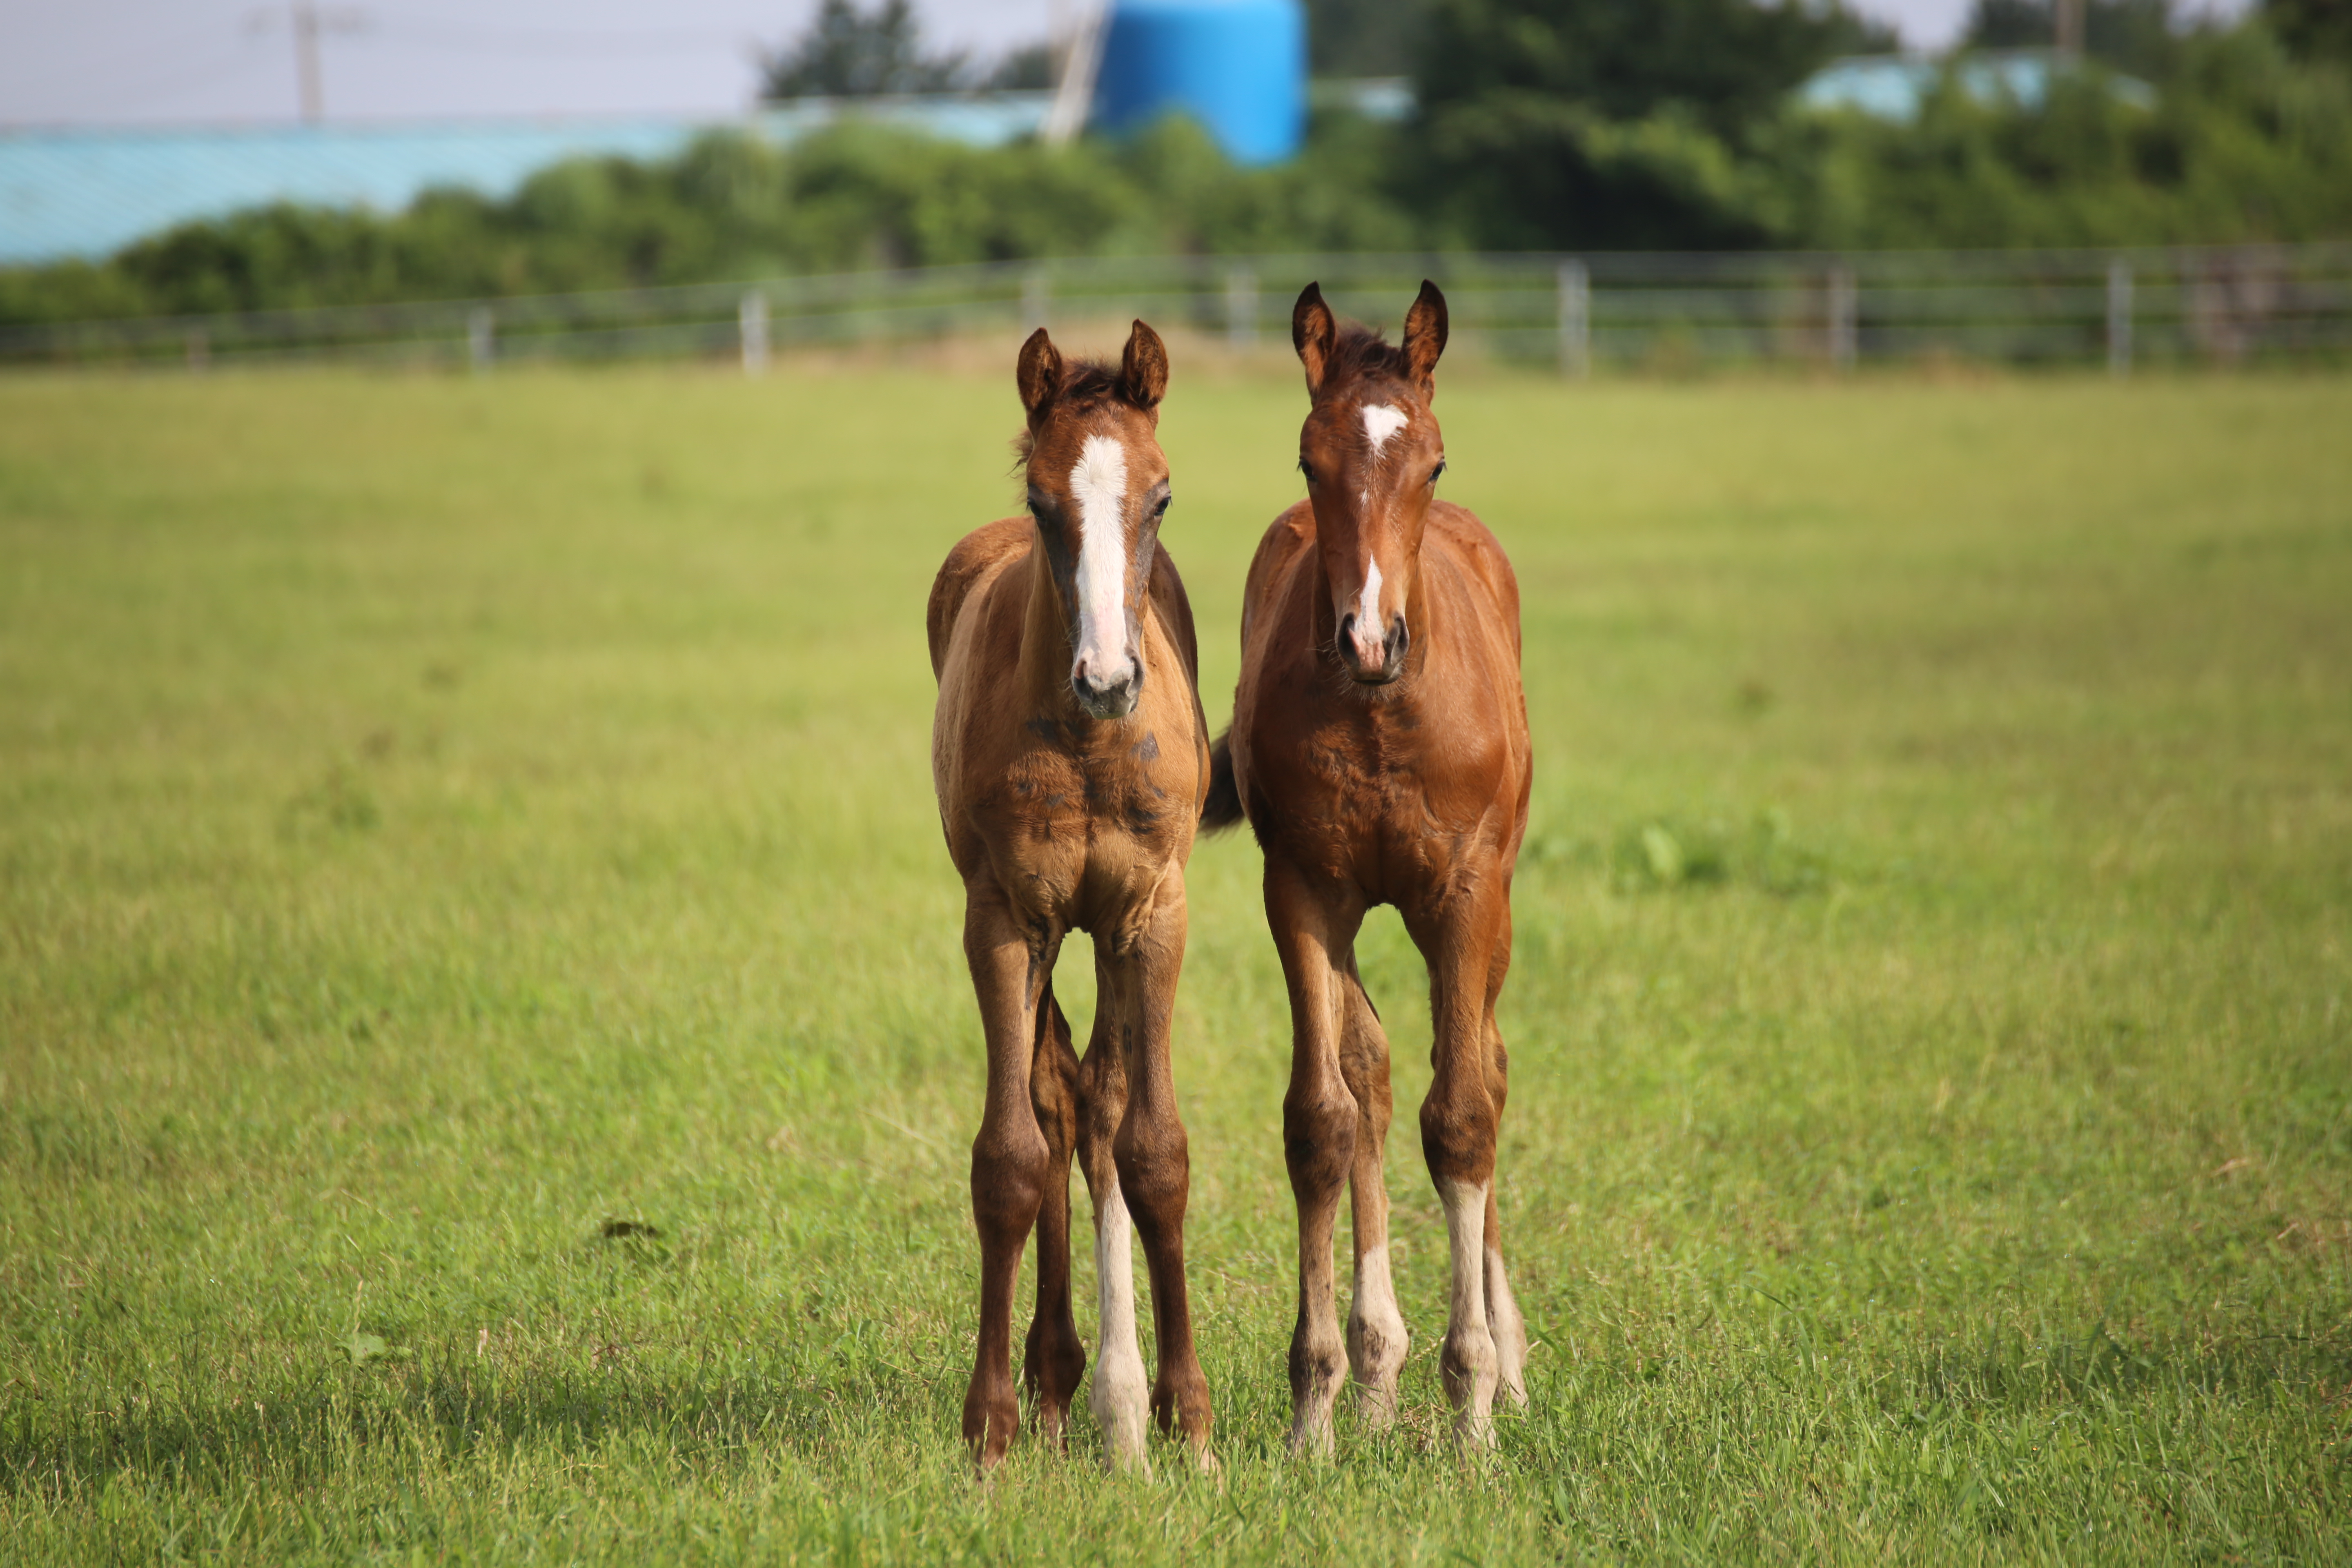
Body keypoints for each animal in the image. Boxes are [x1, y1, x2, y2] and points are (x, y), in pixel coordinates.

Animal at [922, 319, 1214, 1476]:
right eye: (1046, 502)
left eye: (1163, 495)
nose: (1108, 678)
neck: (1087, 745)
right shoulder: (1003, 918)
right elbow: (1010, 1156)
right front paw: (990, 1431)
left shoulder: (1150, 914)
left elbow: (1154, 1149)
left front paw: (1186, 1421)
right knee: (1053, 1097)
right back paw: (1055, 1380)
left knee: (1095, 1101)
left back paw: (1115, 1403)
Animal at [1214, 278, 1543, 1448]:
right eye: (1310, 461)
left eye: (1433, 462)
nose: (1367, 637)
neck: (1378, 714)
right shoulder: (1303, 892)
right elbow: (1323, 1116)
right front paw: (1315, 1410)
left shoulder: (1465, 894)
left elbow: (1462, 1117)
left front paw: (1474, 1407)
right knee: (1370, 1068)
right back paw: (1371, 1376)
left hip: (1494, 908)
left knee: (1483, 1065)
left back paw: (1504, 1365)